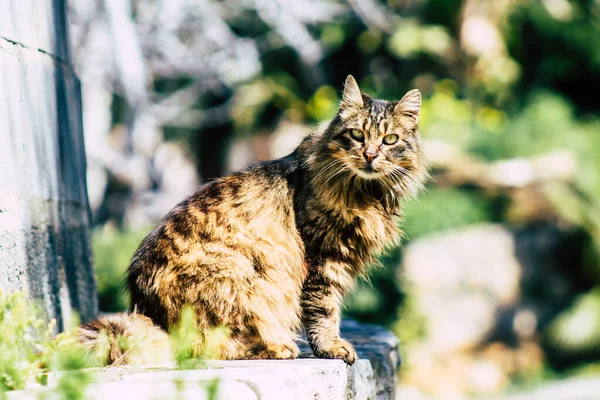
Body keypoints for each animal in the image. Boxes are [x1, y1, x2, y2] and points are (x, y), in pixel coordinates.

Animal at [79, 75, 426, 366]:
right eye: (357, 135)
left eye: (390, 140)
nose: (370, 155)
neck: (369, 193)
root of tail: (147, 311)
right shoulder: (323, 258)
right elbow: (324, 310)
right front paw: (331, 347)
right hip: (239, 278)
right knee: (207, 347)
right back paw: (280, 347)